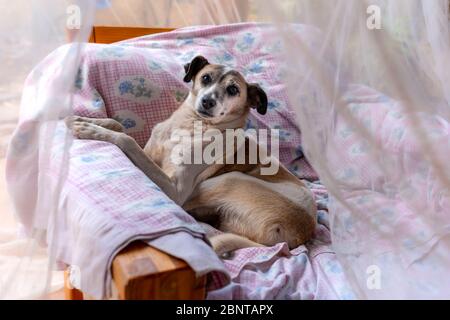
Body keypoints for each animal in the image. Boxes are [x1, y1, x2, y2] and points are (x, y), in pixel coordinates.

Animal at [67, 56, 318, 258]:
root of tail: (294, 237)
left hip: (224, 180)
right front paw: (80, 119)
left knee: (189, 208)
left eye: (233, 90)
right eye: (206, 78)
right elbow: (119, 126)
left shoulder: (175, 188)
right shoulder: (150, 153)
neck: (191, 125)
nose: (208, 101)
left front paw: (90, 130)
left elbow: (127, 140)